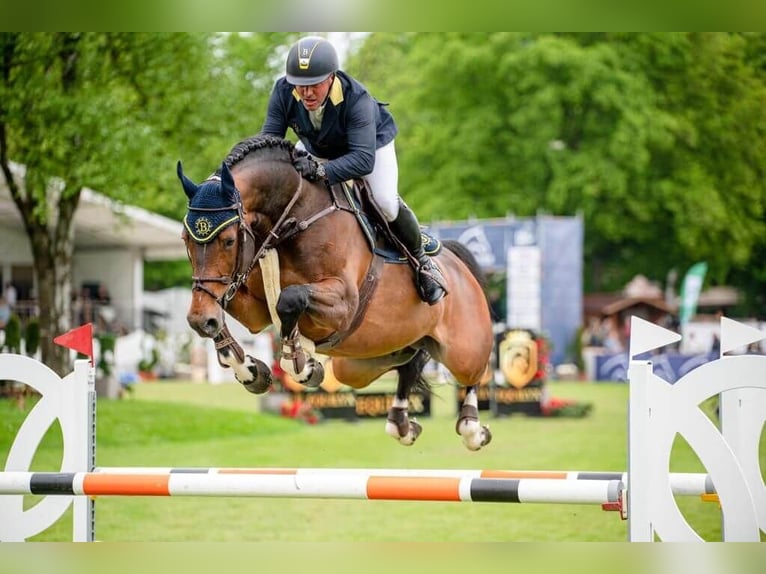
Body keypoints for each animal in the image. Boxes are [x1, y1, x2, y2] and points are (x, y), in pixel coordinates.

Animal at [178, 134, 496, 450]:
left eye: (229, 241)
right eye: (185, 239)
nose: (198, 321)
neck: (295, 219)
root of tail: (457, 264)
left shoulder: (343, 305)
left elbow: (290, 299)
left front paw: (302, 364)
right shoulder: (255, 310)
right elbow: (226, 306)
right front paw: (250, 370)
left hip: (464, 350)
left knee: (474, 372)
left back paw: (473, 428)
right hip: (362, 363)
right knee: (410, 361)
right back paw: (403, 425)